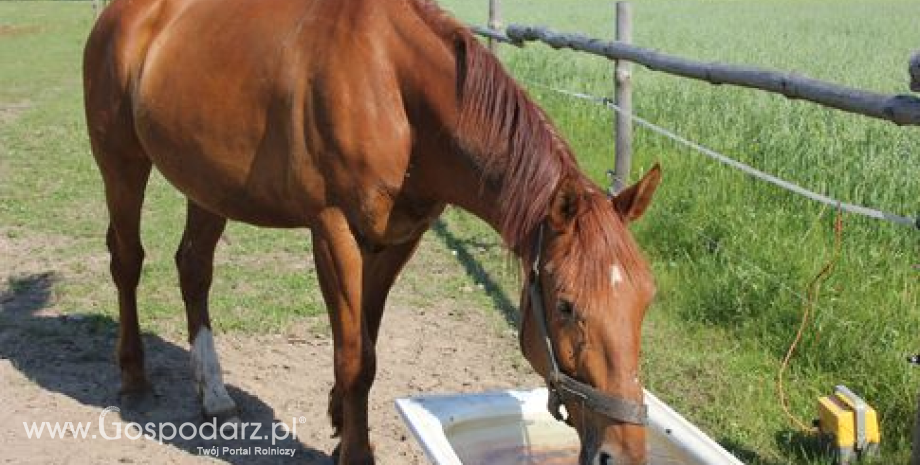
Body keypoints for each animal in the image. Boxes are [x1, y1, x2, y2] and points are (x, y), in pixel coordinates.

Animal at [82, 0, 660, 462]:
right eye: (566, 305)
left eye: (644, 300)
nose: (624, 452)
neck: (392, 87)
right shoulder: (333, 232)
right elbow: (354, 356)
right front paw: (355, 451)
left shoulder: (398, 240)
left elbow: (369, 348)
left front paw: (342, 423)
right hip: (121, 162)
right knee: (127, 260)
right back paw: (133, 378)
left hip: (209, 185)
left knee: (194, 268)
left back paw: (214, 394)